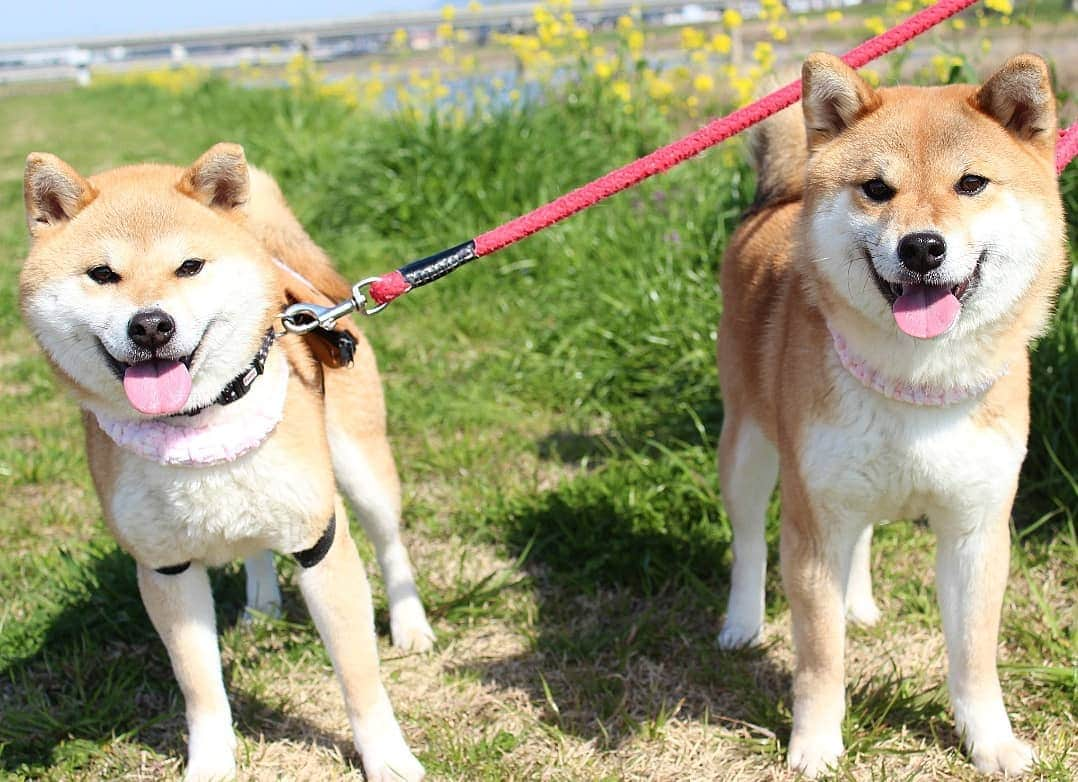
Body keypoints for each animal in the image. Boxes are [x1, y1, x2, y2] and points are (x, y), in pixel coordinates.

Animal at [17, 143, 433, 776]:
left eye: (189, 267)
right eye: (102, 274)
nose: (151, 324)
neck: (194, 425)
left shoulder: (319, 544)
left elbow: (359, 679)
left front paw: (387, 759)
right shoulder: (165, 567)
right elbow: (201, 687)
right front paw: (211, 763)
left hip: (361, 468)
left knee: (390, 544)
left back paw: (410, 624)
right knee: (252, 544)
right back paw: (262, 604)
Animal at [720, 53, 1065, 776]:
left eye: (971, 183)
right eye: (876, 189)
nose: (922, 247)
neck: (915, 381)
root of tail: (778, 200)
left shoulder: (976, 528)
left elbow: (974, 655)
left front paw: (991, 743)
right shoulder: (813, 524)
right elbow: (820, 657)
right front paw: (816, 745)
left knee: (865, 537)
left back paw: (859, 604)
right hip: (747, 447)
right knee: (748, 539)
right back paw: (742, 623)